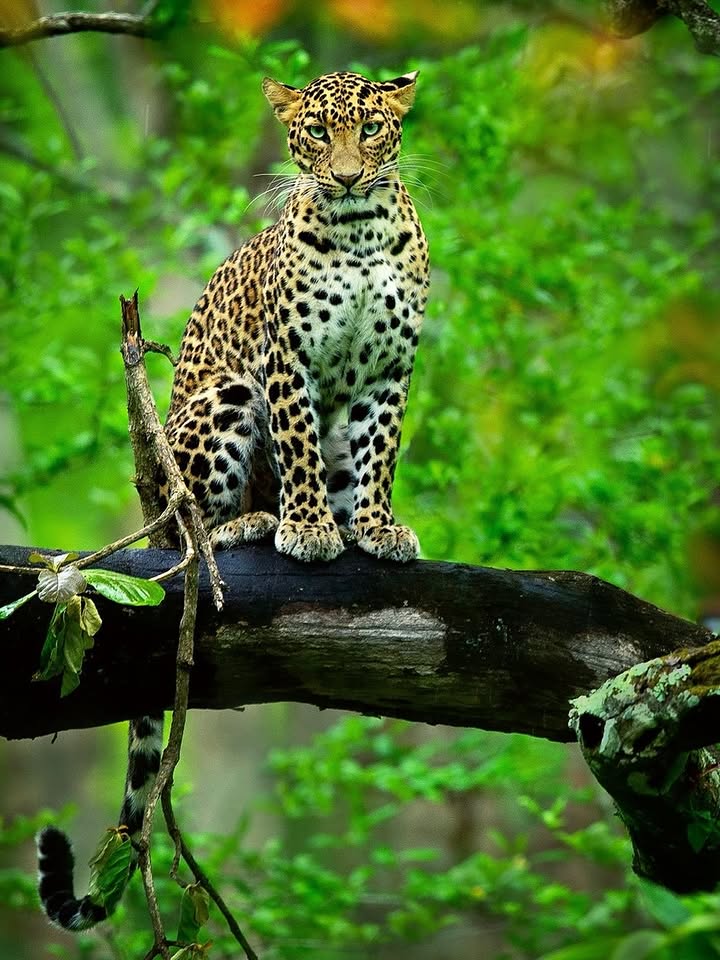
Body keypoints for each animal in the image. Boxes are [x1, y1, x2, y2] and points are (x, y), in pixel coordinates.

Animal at [36, 69, 429, 931]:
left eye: (371, 129)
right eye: (315, 132)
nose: (345, 176)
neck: (359, 235)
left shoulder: (389, 372)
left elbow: (379, 452)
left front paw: (376, 527)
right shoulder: (287, 363)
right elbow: (301, 445)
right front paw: (309, 529)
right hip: (221, 402)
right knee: (193, 527)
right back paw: (254, 521)